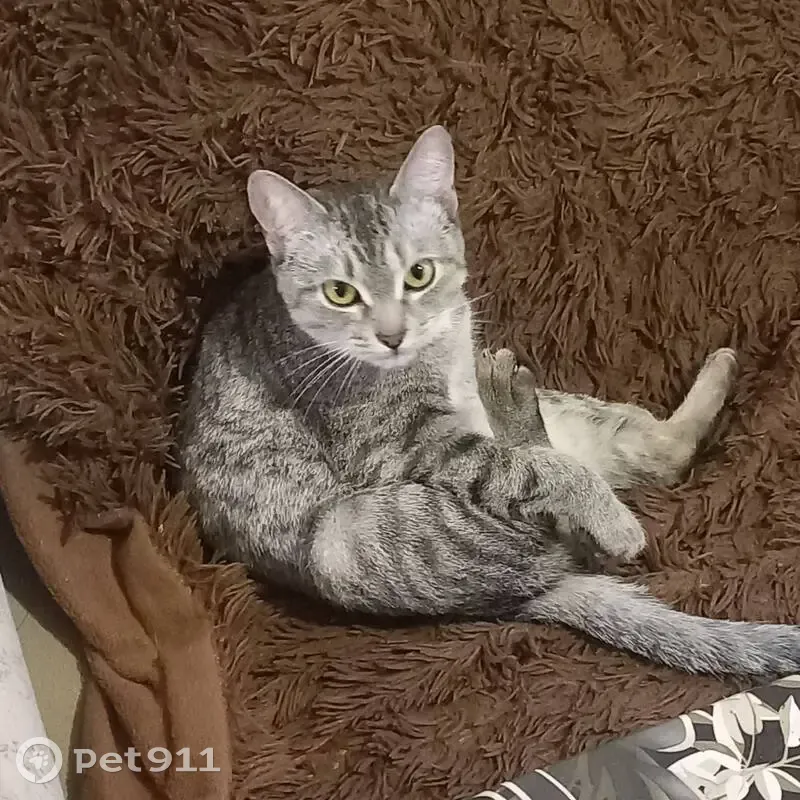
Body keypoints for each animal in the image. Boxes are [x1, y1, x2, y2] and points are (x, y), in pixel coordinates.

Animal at [178, 125, 800, 677]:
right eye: (340, 292)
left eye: (419, 274)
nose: (391, 334)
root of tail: (524, 598)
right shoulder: (407, 445)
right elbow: (523, 467)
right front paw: (611, 517)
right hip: (356, 538)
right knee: (555, 522)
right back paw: (517, 411)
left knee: (658, 455)